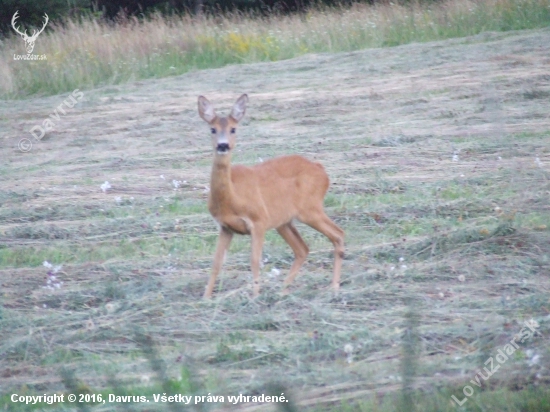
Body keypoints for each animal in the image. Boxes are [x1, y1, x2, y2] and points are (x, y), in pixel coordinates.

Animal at [198, 94, 344, 298]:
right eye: (213, 129)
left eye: (233, 129)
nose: (223, 145)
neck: (232, 198)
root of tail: (322, 171)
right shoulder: (225, 227)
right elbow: (216, 263)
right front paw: (206, 298)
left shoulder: (259, 220)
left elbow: (254, 260)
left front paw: (255, 296)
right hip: (284, 221)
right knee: (302, 249)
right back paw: (283, 290)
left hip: (310, 208)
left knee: (338, 234)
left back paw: (334, 287)